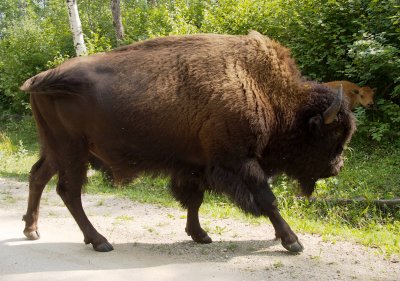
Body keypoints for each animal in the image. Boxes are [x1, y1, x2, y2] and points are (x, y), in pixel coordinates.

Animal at [21, 30, 356, 252]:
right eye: (331, 136)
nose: (338, 167)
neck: (260, 88)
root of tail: (40, 79)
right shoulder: (239, 161)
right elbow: (267, 199)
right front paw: (292, 241)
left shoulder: (196, 164)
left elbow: (194, 199)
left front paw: (200, 234)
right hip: (72, 151)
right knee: (69, 191)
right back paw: (100, 241)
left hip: (58, 150)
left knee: (38, 176)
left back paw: (32, 230)